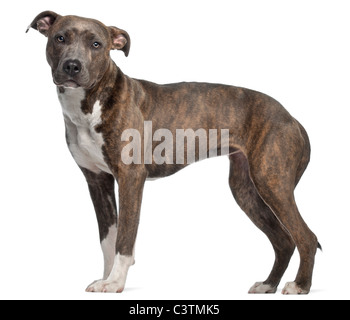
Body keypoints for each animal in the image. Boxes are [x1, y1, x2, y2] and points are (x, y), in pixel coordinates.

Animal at [28, 10, 322, 296]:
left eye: (96, 44)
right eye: (60, 38)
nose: (72, 66)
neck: (91, 103)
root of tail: (291, 117)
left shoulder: (130, 179)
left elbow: (124, 238)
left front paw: (115, 283)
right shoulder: (97, 182)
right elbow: (107, 238)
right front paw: (106, 278)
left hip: (271, 181)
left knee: (305, 237)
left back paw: (300, 285)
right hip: (245, 189)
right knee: (283, 240)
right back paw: (268, 284)